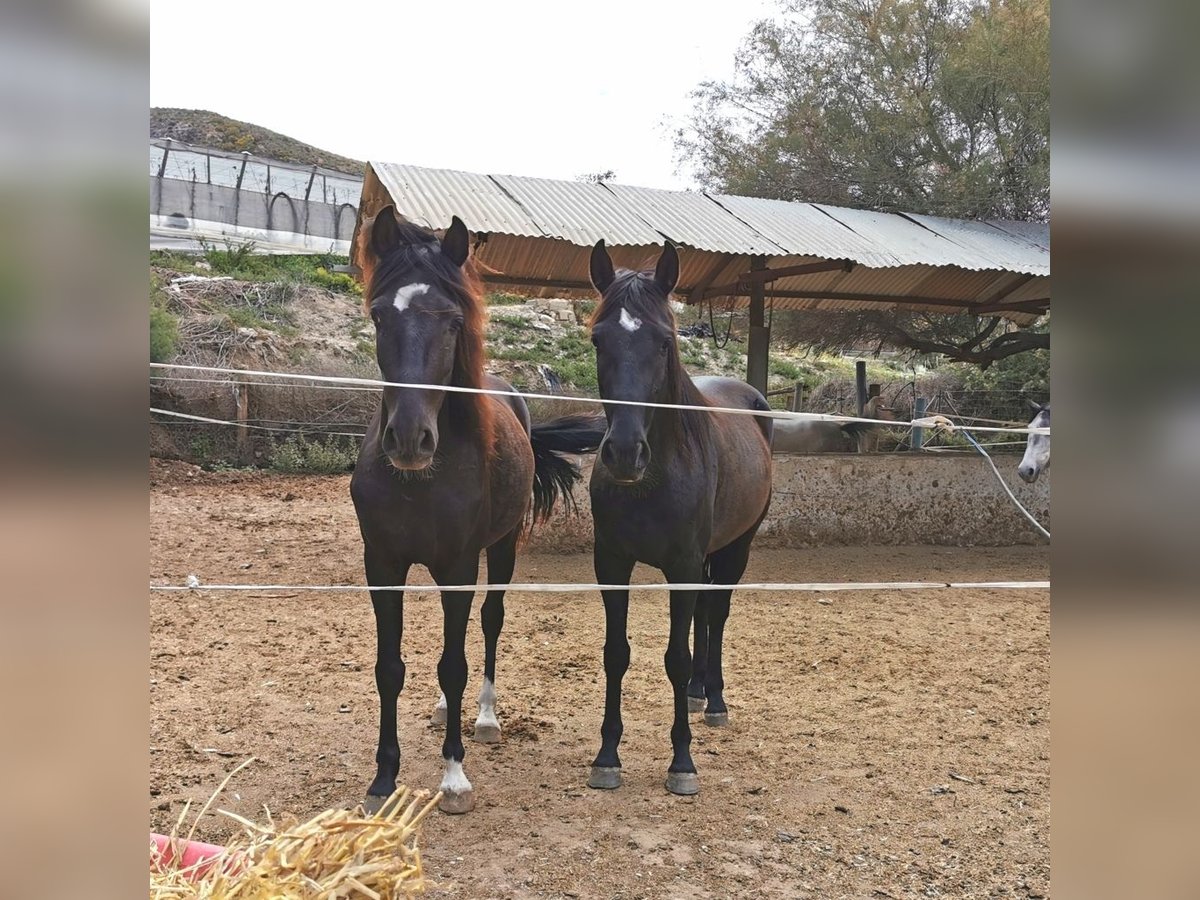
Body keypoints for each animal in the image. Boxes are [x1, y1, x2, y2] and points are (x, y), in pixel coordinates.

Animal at [585, 237, 772, 796]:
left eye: (665, 342)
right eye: (598, 340)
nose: (625, 454)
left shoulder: (685, 566)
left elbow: (676, 654)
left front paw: (682, 763)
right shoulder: (612, 565)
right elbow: (616, 653)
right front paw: (607, 756)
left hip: (734, 550)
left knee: (718, 613)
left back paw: (713, 701)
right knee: (705, 617)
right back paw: (696, 693)